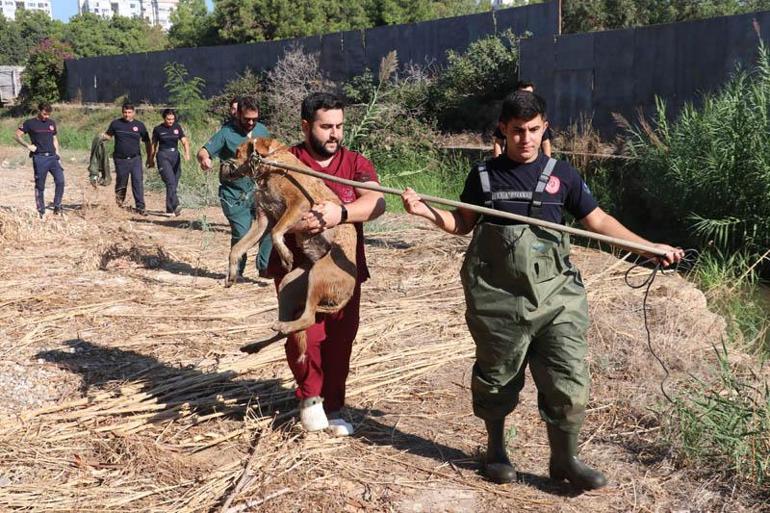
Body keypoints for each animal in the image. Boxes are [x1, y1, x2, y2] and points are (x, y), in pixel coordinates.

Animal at [220, 138, 356, 358]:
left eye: (237, 152)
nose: (222, 165)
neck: (273, 166)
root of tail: (348, 294)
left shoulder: (297, 204)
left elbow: (276, 232)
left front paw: (285, 255)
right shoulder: (262, 221)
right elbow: (237, 249)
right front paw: (231, 274)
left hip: (318, 274)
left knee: (308, 318)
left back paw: (283, 326)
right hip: (288, 284)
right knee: (287, 330)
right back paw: (258, 343)